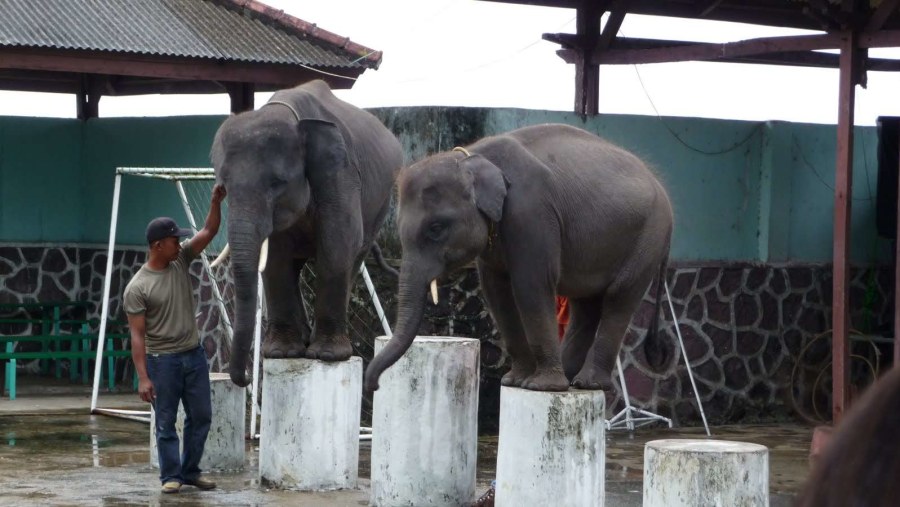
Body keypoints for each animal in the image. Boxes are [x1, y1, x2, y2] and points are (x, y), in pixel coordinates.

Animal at [211, 80, 400, 388]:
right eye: (223, 187)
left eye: (277, 183)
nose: (247, 377)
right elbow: (275, 259)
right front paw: (282, 354)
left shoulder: (341, 176)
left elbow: (336, 247)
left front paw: (327, 356)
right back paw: (302, 341)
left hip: (382, 203)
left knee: (353, 258)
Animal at [364, 123, 668, 392]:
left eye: (435, 228)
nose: (374, 386)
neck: (470, 156)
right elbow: (495, 292)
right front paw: (514, 381)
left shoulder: (531, 212)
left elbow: (530, 285)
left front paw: (540, 386)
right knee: (586, 306)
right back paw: (570, 380)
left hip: (648, 240)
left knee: (618, 299)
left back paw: (586, 383)